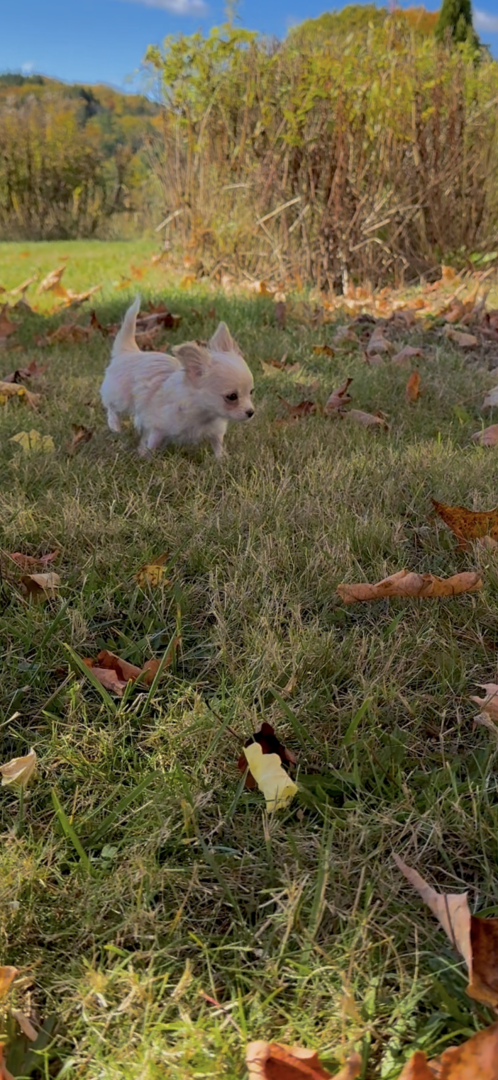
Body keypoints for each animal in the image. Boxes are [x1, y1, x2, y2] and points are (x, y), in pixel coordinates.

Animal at [100, 297, 255, 458]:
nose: (251, 412)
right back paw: (115, 426)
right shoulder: (158, 426)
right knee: (112, 408)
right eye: (232, 396)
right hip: (120, 396)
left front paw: (222, 458)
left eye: (251, 392)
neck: (204, 414)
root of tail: (129, 351)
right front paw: (147, 457)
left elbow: (217, 444)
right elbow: (153, 442)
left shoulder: (215, 429)